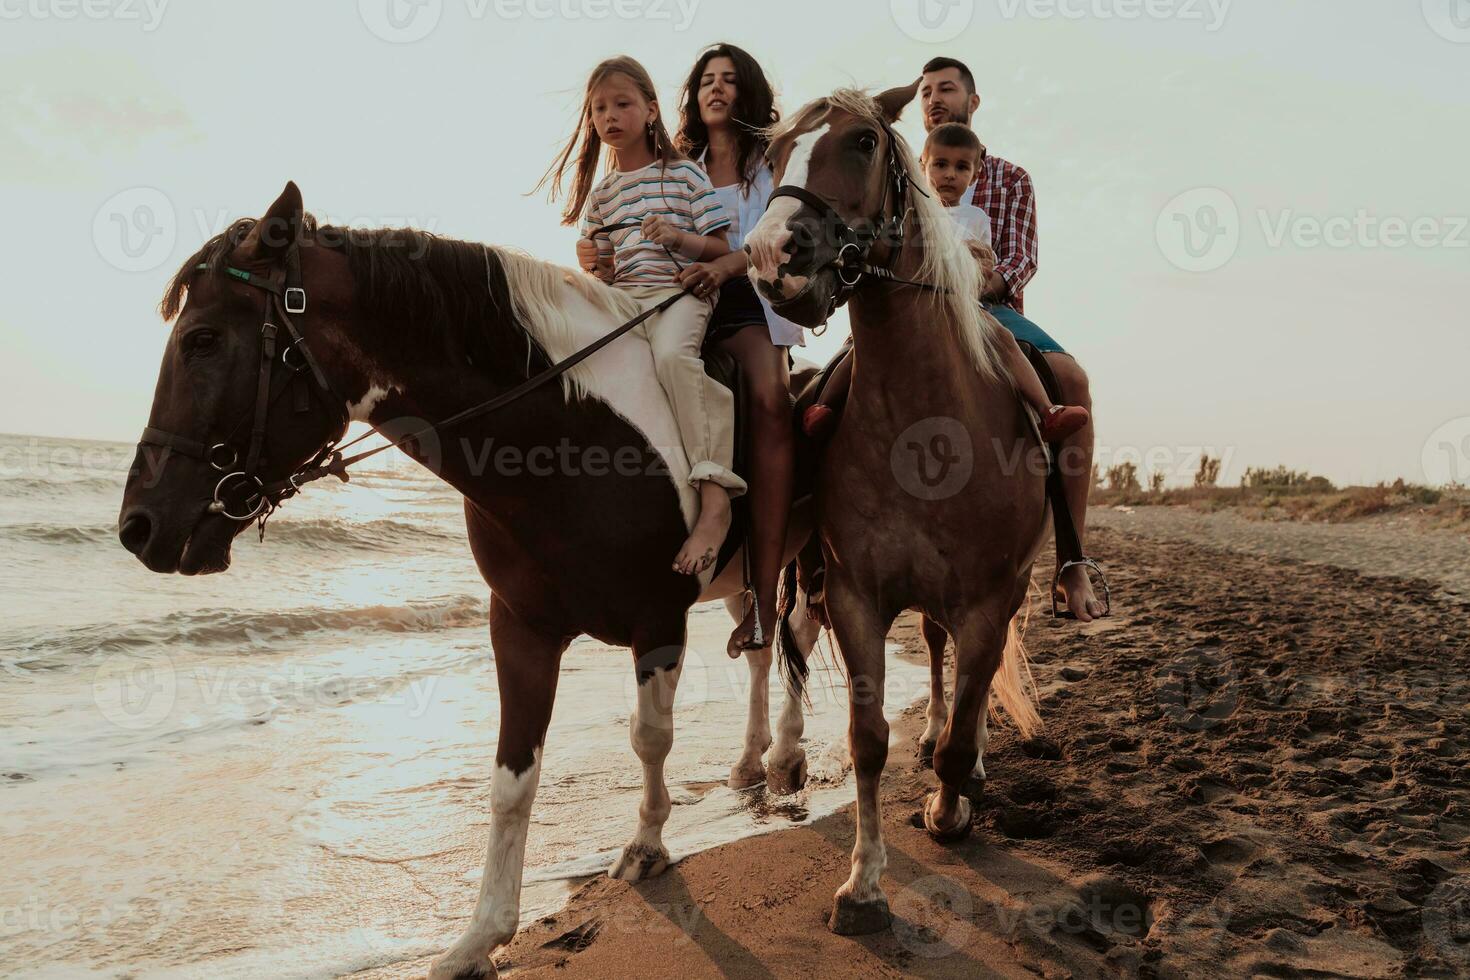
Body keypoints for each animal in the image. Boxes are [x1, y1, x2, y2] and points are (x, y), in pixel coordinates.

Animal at [117, 182, 829, 975]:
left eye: (203, 340)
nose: (138, 525)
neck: (570, 441)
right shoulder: (519, 626)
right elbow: (511, 779)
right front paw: (481, 936)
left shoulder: (658, 622)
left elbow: (649, 737)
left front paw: (645, 846)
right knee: (765, 650)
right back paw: (752, 761)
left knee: (798, 635)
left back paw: (788, 755)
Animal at [746, 86, 1058, 934]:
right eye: (772, 154)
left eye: (860, 141)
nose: (771, 255)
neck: (926, 429)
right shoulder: (857, 597)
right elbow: (868, 740)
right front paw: (863, 887)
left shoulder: (989, 597)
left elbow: (960, 731)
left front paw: (950, 810)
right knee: (940, 658)